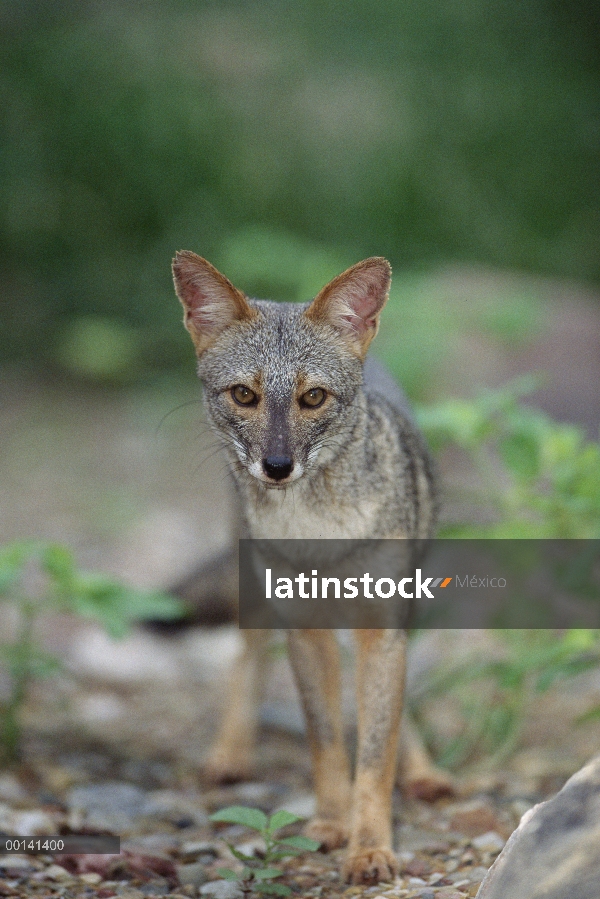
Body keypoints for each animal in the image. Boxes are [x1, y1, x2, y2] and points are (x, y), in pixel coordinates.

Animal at [171, 250, 452, 884]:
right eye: (244, 395)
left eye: (314, 398)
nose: (277, 466)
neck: (320, 536)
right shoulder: (304, 627)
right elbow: (325, 741)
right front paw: (330, 825)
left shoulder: (381, 628)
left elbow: (374, 750)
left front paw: (371, 848)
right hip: (257, 595)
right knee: (247, 657)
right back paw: (230, 753)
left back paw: (423, 770)